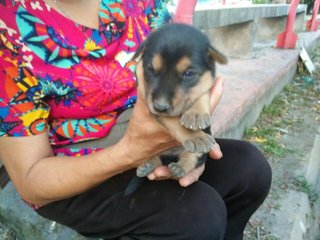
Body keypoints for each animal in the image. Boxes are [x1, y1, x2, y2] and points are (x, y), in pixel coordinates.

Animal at [132, 23, 228, 178]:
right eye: (150, 69)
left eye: (188, 73)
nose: (160, 107)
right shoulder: (151, 107)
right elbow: (173, 121)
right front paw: (195, 136)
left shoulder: (207, 83)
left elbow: (202, 94)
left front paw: (196, 115)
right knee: (157, 158)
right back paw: (148, 165)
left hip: (197, 154)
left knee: (191, 158)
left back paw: (179, 168)